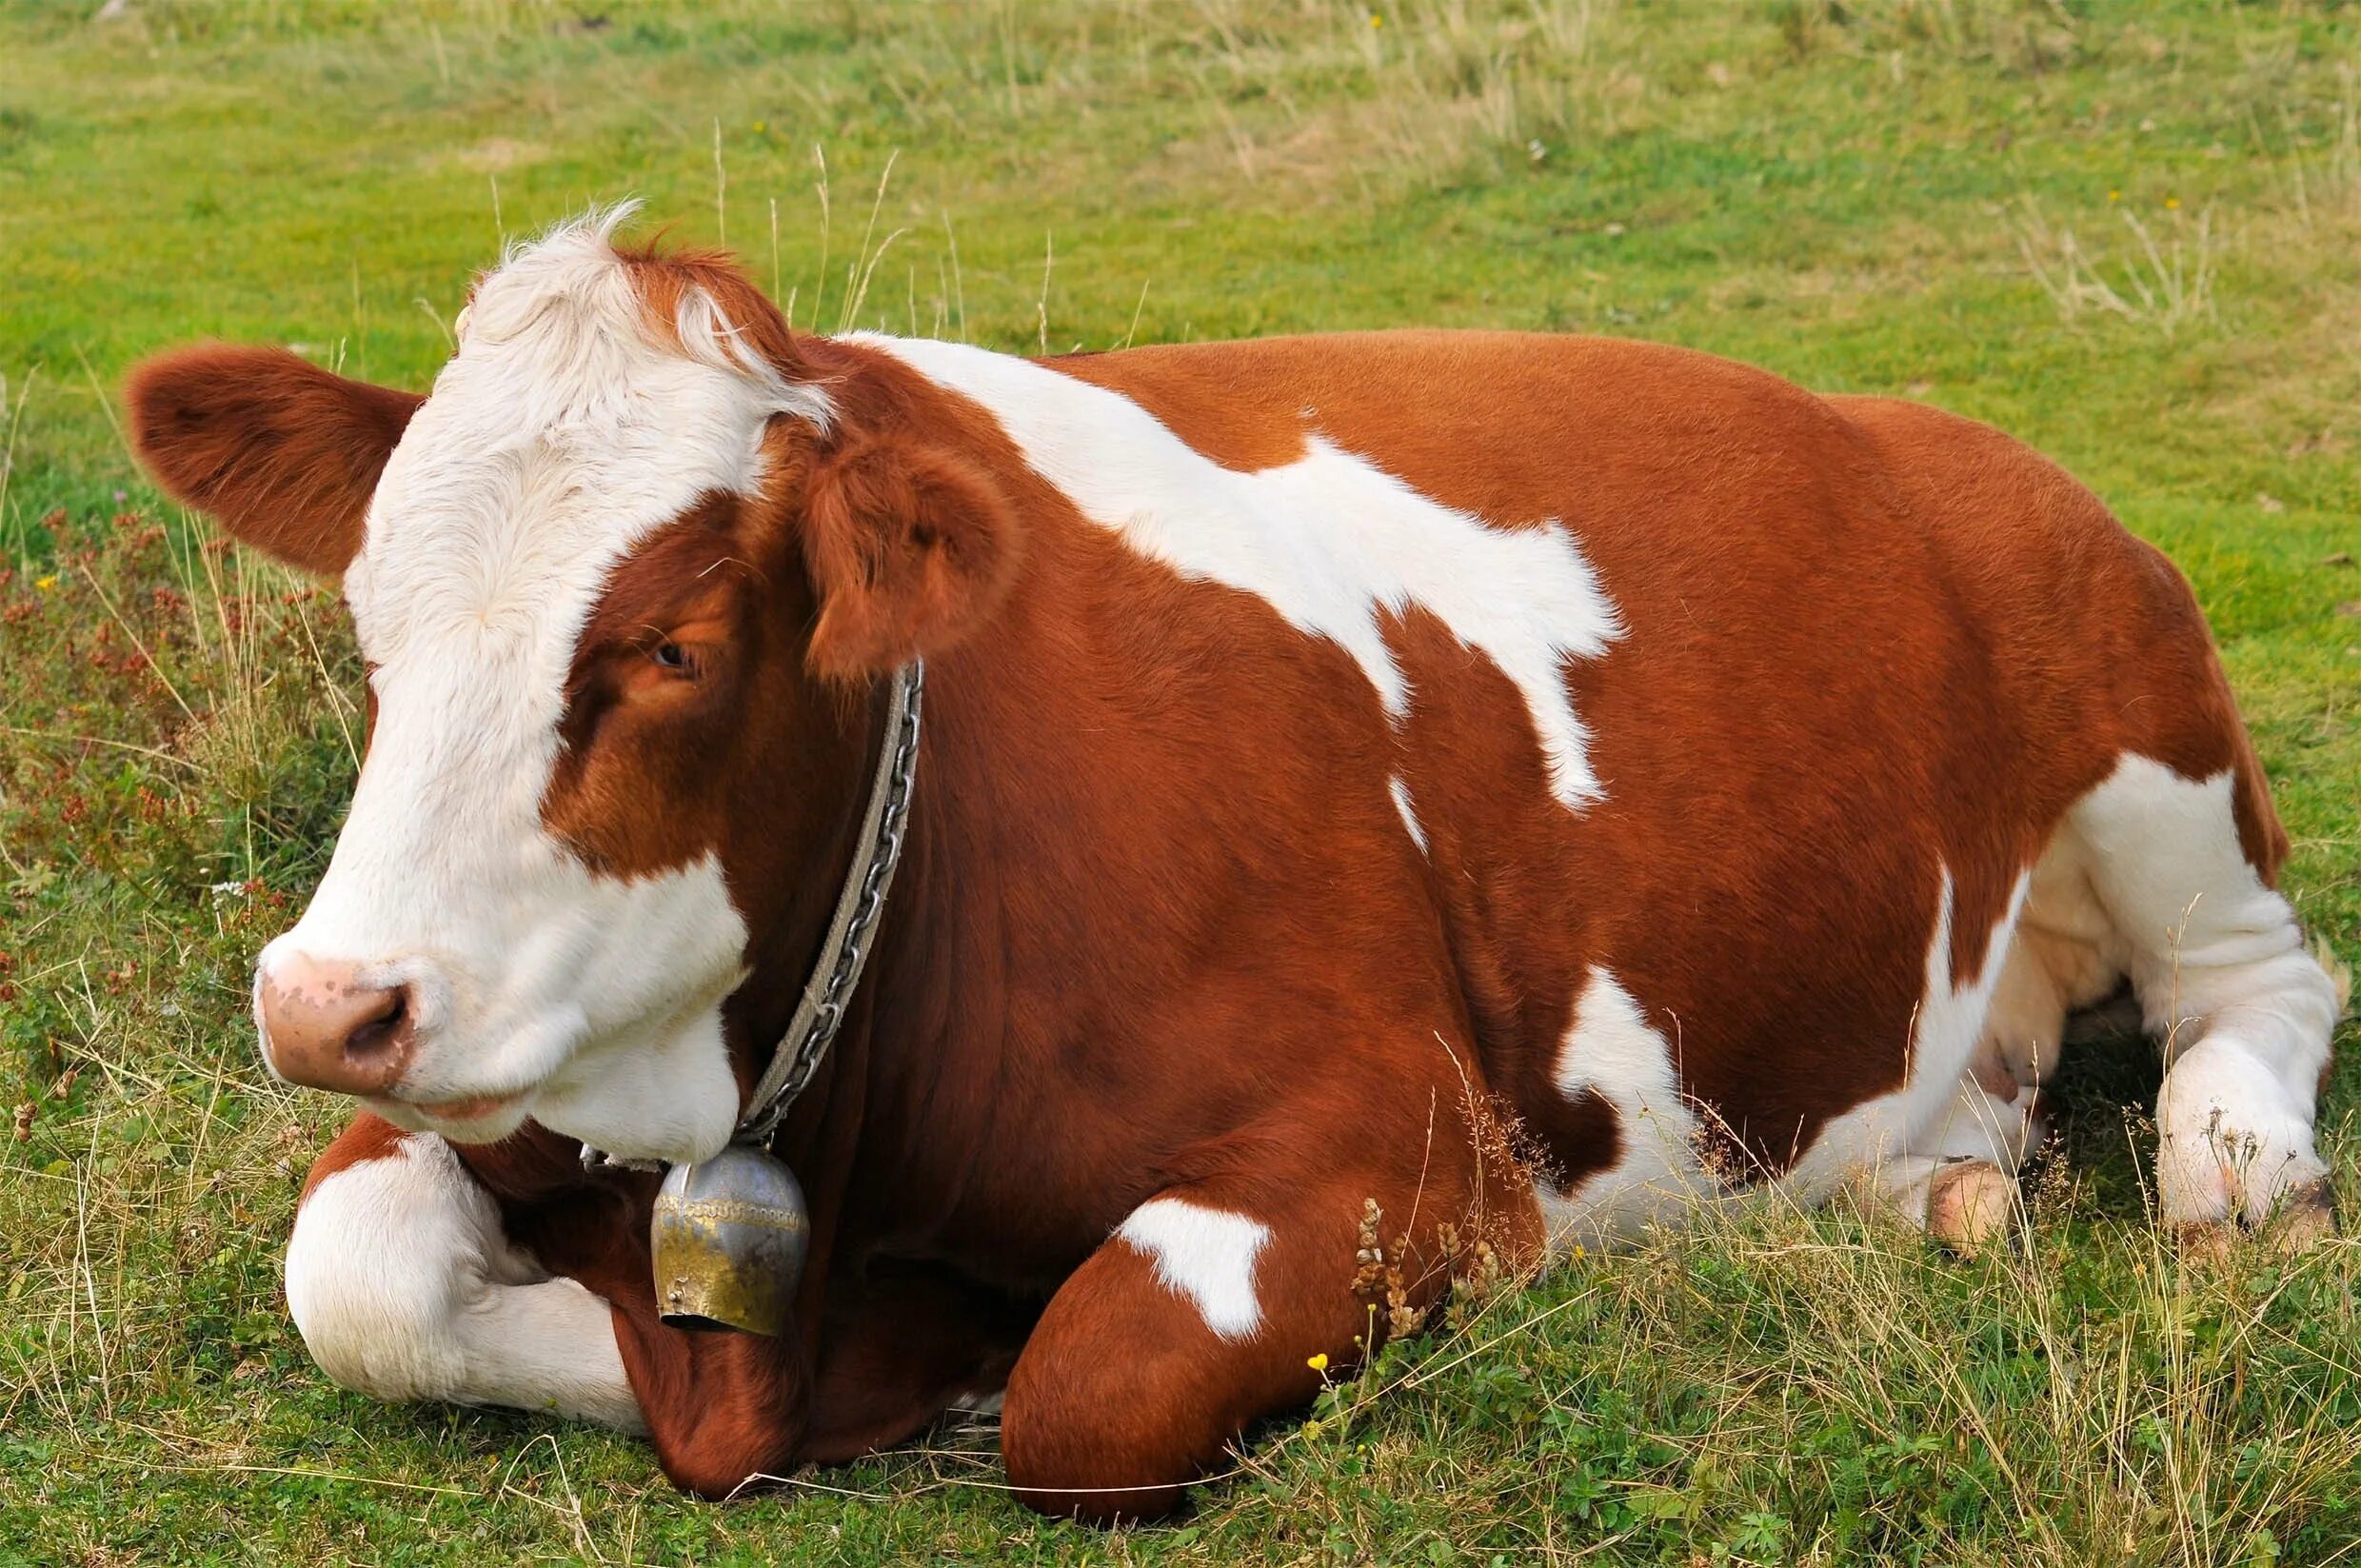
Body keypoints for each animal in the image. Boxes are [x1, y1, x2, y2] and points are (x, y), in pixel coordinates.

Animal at [129, 208, 2342, 1520]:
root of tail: (1905, 422)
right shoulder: (509, 1095)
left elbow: (1086, 1381)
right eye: (369, 617)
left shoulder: (1411, 1154)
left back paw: (2235, 1169)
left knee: (2261, 978)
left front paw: (946, 1376)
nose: (328, 1005)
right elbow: (355, 1271)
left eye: (669, 645)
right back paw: (1939, 1189)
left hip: (2134, 700)